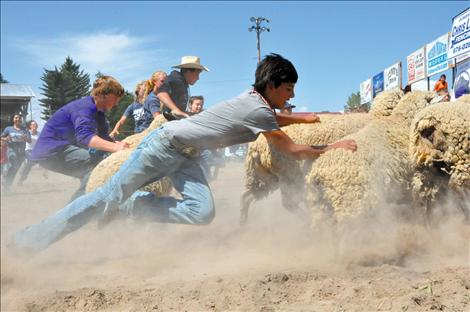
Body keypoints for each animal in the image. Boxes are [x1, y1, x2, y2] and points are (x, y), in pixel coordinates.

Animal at [239, 88, 404, 224]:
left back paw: (243, 222)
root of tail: (255, 146)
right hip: (289, 175)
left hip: (266, 177)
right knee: (289, 203)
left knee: (247, 196)